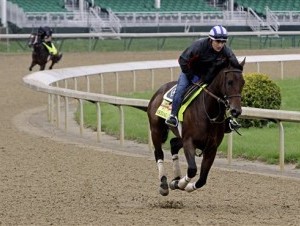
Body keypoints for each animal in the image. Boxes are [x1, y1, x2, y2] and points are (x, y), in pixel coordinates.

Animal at [146, 58, 245, 196]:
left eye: (243, 83)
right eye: (229, 82)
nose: (236, 111)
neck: (209, 113)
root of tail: (159, 91)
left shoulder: (211, 148)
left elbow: (202, 179)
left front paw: (182, 184)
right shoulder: (189, 141)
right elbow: (192, 169)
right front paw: (180, 184)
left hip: (180, 136)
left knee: (173, 144)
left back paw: (176, 177)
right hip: (156, 129)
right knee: (159, 153)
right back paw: (164, 184)